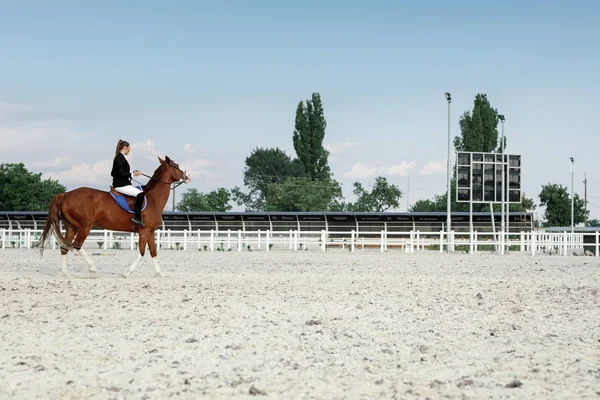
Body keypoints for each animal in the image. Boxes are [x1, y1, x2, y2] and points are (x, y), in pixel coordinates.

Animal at [35, 156, 190, 278]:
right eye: (176, 166)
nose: (187, 176)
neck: (152, 199)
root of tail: (65, 194)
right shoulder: (144, 231)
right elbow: (141, 252)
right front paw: (128, 273)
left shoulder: (150, 232)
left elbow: (153, 252)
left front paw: (160, 273)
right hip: (85, 226)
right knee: (77, 245)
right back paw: (92, 268)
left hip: (71, 227)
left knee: (65, 247)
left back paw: (66, 273)